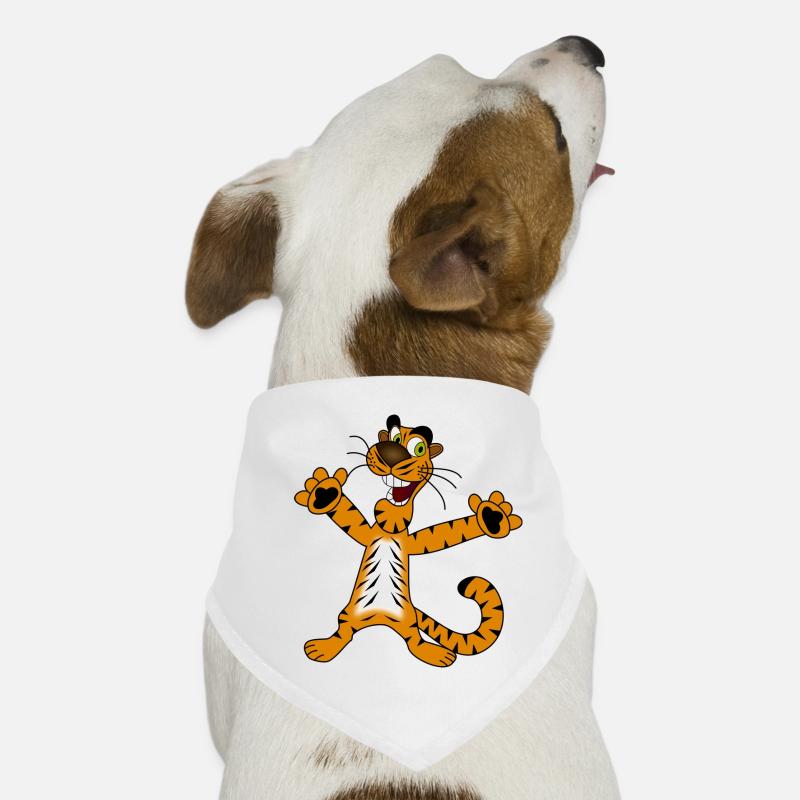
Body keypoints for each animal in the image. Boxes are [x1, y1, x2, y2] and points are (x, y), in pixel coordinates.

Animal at [294, 414, 523, 667]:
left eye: (418, 448)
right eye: (394, 436)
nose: (391, 454)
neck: (390, 525)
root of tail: (380, 618)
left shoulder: (416, 542)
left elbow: (450, 531)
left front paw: (491, 518)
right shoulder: (368, 534)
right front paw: (325, 493)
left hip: (408, 620)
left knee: (414, 641)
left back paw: (434, 653)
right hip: (349, 613)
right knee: (344, 632)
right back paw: (324, 647)